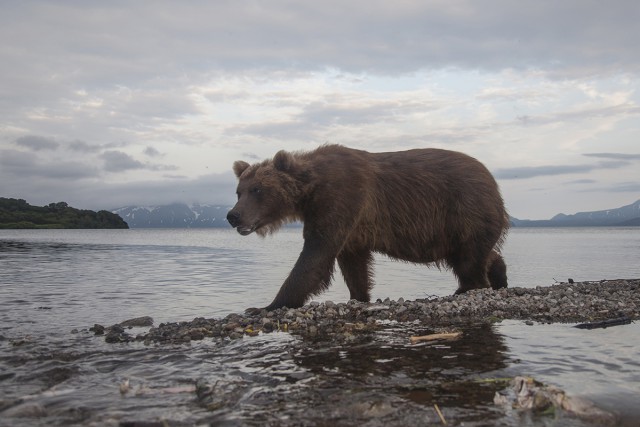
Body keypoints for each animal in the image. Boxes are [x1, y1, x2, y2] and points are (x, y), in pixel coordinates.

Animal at [228, 145, 508, 312]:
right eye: (239, 191)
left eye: (257, 190)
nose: (233, 216)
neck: (310, 189)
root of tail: (492, 180)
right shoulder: (351, 228)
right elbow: (353, 263)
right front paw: (359, 295)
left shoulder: (341, 197)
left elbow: (315, 255)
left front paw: (266, 305)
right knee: (475, 255)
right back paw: (498, 276)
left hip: (464, 211)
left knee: (468, 258)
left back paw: (468, 287)